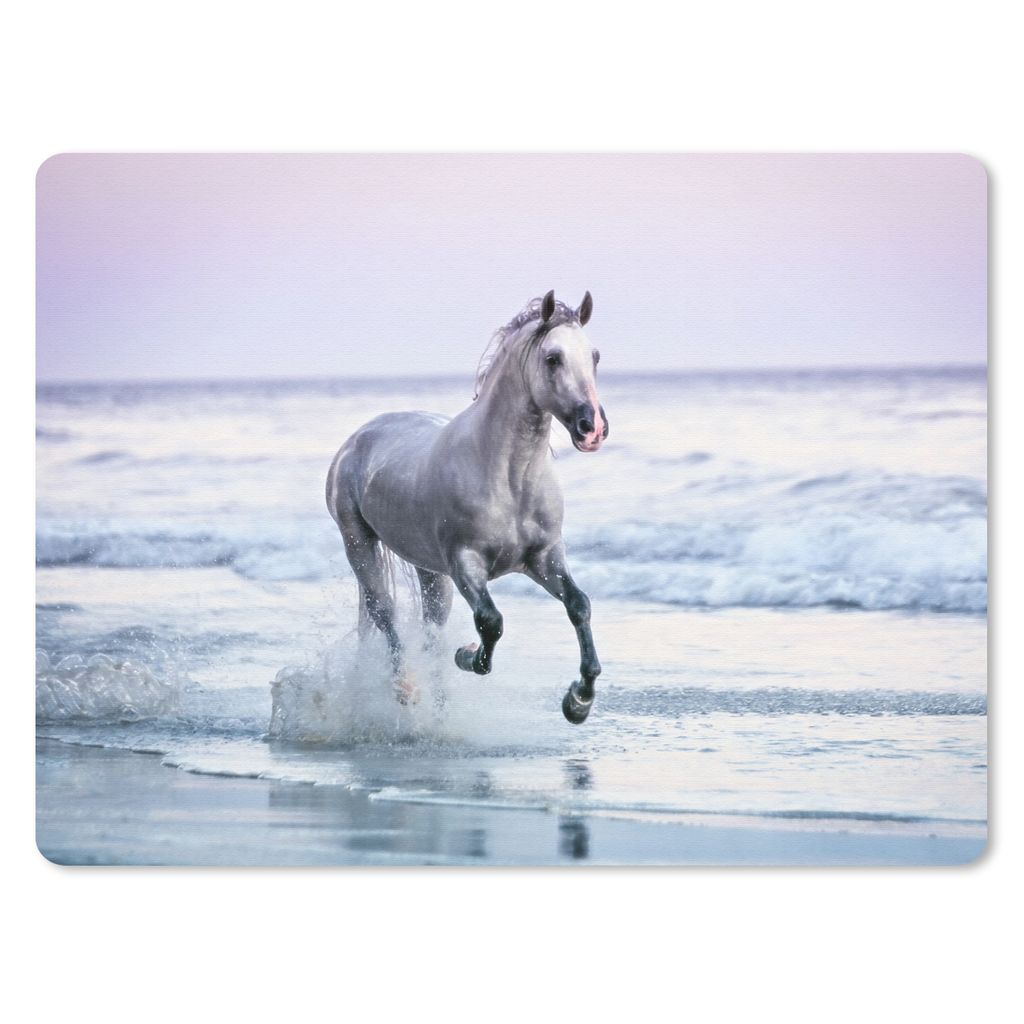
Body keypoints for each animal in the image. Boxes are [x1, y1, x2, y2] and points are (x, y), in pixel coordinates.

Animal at [326, 290, 609, 724]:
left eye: (594, 356)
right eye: (552, 358)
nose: (592, 428)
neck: (508, 478)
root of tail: (356, 439)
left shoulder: (544, 557)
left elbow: (579, 605)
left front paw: (578, 702)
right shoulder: (465, 563)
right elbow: (490, 623)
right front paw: (468, 655)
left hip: (429, 571)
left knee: (431, 629)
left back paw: (439, 710)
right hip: (359, 544)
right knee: (384, 614)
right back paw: (405, 688)